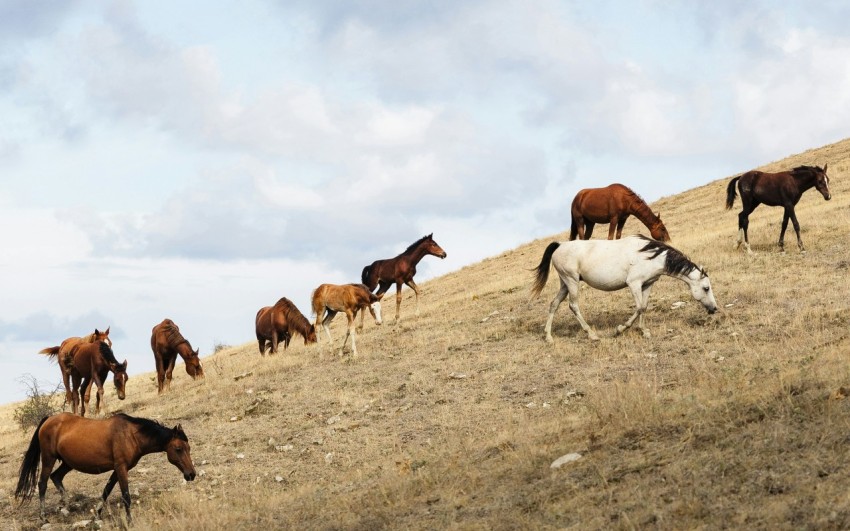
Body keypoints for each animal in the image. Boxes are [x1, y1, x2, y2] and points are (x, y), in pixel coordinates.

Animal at [15, 412, 195, 524]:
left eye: (188, 448)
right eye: (178, 449)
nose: (191, 474)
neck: (131, 435)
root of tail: (49, 419)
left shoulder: (117, 469)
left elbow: (106, 491)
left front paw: (97, 515)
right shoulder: (121, 468)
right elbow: (126, 496)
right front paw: (129, 521)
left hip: (67, 463)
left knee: (56, 477)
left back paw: (67, 506)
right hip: (48, 458)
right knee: (42, 484)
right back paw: (44, 517)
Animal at [528, 235, 716, 342]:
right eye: (706, 288)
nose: (714, 309)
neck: (652, 256)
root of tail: (560, 245)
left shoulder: (647, 284)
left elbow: (644, 307)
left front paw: (644, 331)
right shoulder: (634, 283)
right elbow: (639, 307)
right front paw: (620, 330)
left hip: (565, 284)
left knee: (554, 304)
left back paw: (549, 337)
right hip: (572, 281)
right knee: (573, 306)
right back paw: (592, 335)